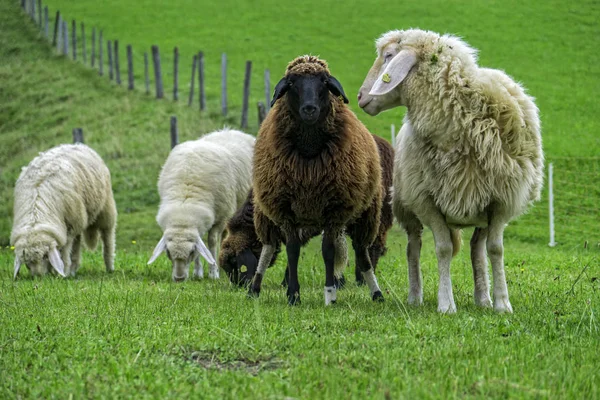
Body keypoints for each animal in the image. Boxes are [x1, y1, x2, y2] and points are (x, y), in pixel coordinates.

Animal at [11, 144, 117, 278]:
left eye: (45, 256)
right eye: (27, 263)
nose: (39, 277)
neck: (36, 215)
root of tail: (78, 145)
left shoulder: (69, 228)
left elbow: (64, 251)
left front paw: (63, 272)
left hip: (105, 209)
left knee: (107, 236)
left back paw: (109, 266)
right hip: (79, 217)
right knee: (76, 245)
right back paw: (73, 269)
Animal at [149, 128, 255, 282]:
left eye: (191, 251)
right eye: (168, 252)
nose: (179, 278)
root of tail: (232, 130)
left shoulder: (220, 217)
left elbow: (211, 242)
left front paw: (213, 273)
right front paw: (198, 273)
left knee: (223, 237)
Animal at [248, 54, 384, 306]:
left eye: (324, 82)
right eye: (292, 83)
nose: (309, 109)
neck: (309, 151)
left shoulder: (334, 208)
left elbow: (328, 251)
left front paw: (330, 293)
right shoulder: (285, 209)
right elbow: (292, 251)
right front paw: (293, 294)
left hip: (366, 212)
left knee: (362, 253)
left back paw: (376, 293)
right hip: (265, 211)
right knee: (268, 247)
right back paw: (254, 288)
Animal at [358, 29, 548, 314]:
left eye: (389, 56)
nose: (360, 97)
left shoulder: (502, 201)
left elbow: (496, 249)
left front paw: (502, 303)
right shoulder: (427, 200)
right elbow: (444, 249)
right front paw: (446, 304)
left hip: (481, 210)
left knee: (477, 248)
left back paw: (483, 299)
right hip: (406, 205)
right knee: (413, 248)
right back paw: (415, 296)